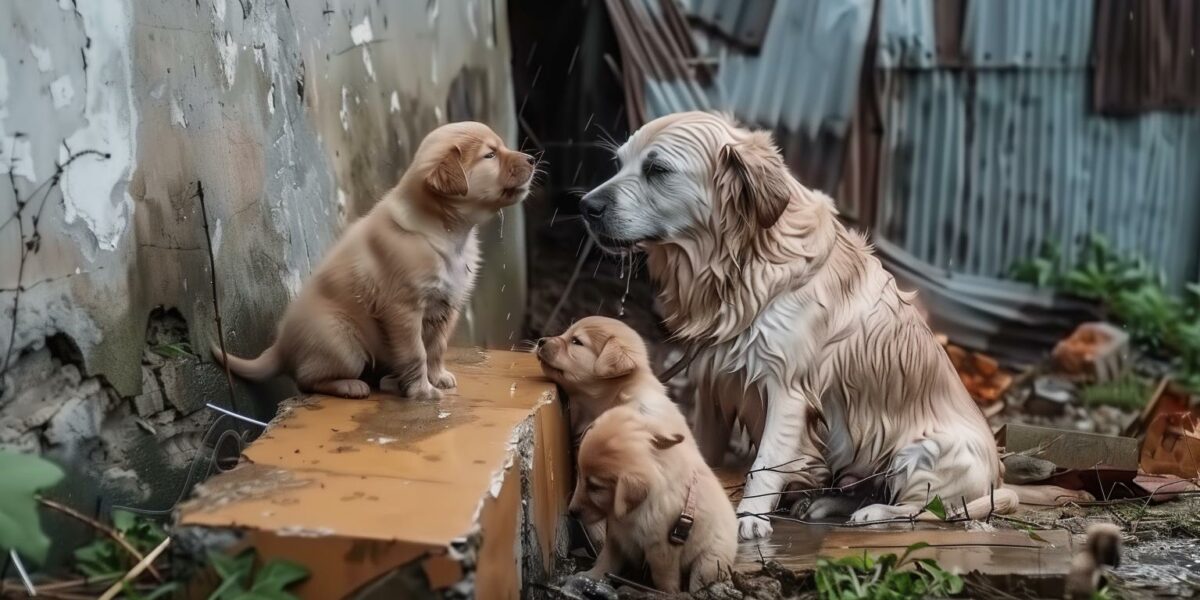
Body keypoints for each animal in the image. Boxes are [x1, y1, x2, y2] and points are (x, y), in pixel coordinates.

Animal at [214, 121, 535, 398]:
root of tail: (280, 345)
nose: (533, 159)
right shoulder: (402, 308)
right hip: (343, 343)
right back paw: (352, 386)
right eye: (490, 155)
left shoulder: (448, 304)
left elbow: (436, 347)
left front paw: (438, 377)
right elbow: (416, 352)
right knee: (308, 379)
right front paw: (422, 391)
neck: (447, 233)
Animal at [568, 400, 734, 592]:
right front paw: (591, 576)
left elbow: (664, 580)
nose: (571, 512)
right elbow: (606, 559)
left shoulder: (662, 549)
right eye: (579, 475)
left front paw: (666, 593)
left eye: (595, 487)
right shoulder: (616, 535)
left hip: (709, 561)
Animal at [576, 111, 1094, 540]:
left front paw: (749, 520)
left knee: (939, 510)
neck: (742, 264)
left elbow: (764, 464)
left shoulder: (786, 389)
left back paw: (874, 514)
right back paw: (825, 504)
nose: (585, 206)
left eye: (657, 170)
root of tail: (998, 479)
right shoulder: (711, 384)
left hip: (923, 452)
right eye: (619, 163)